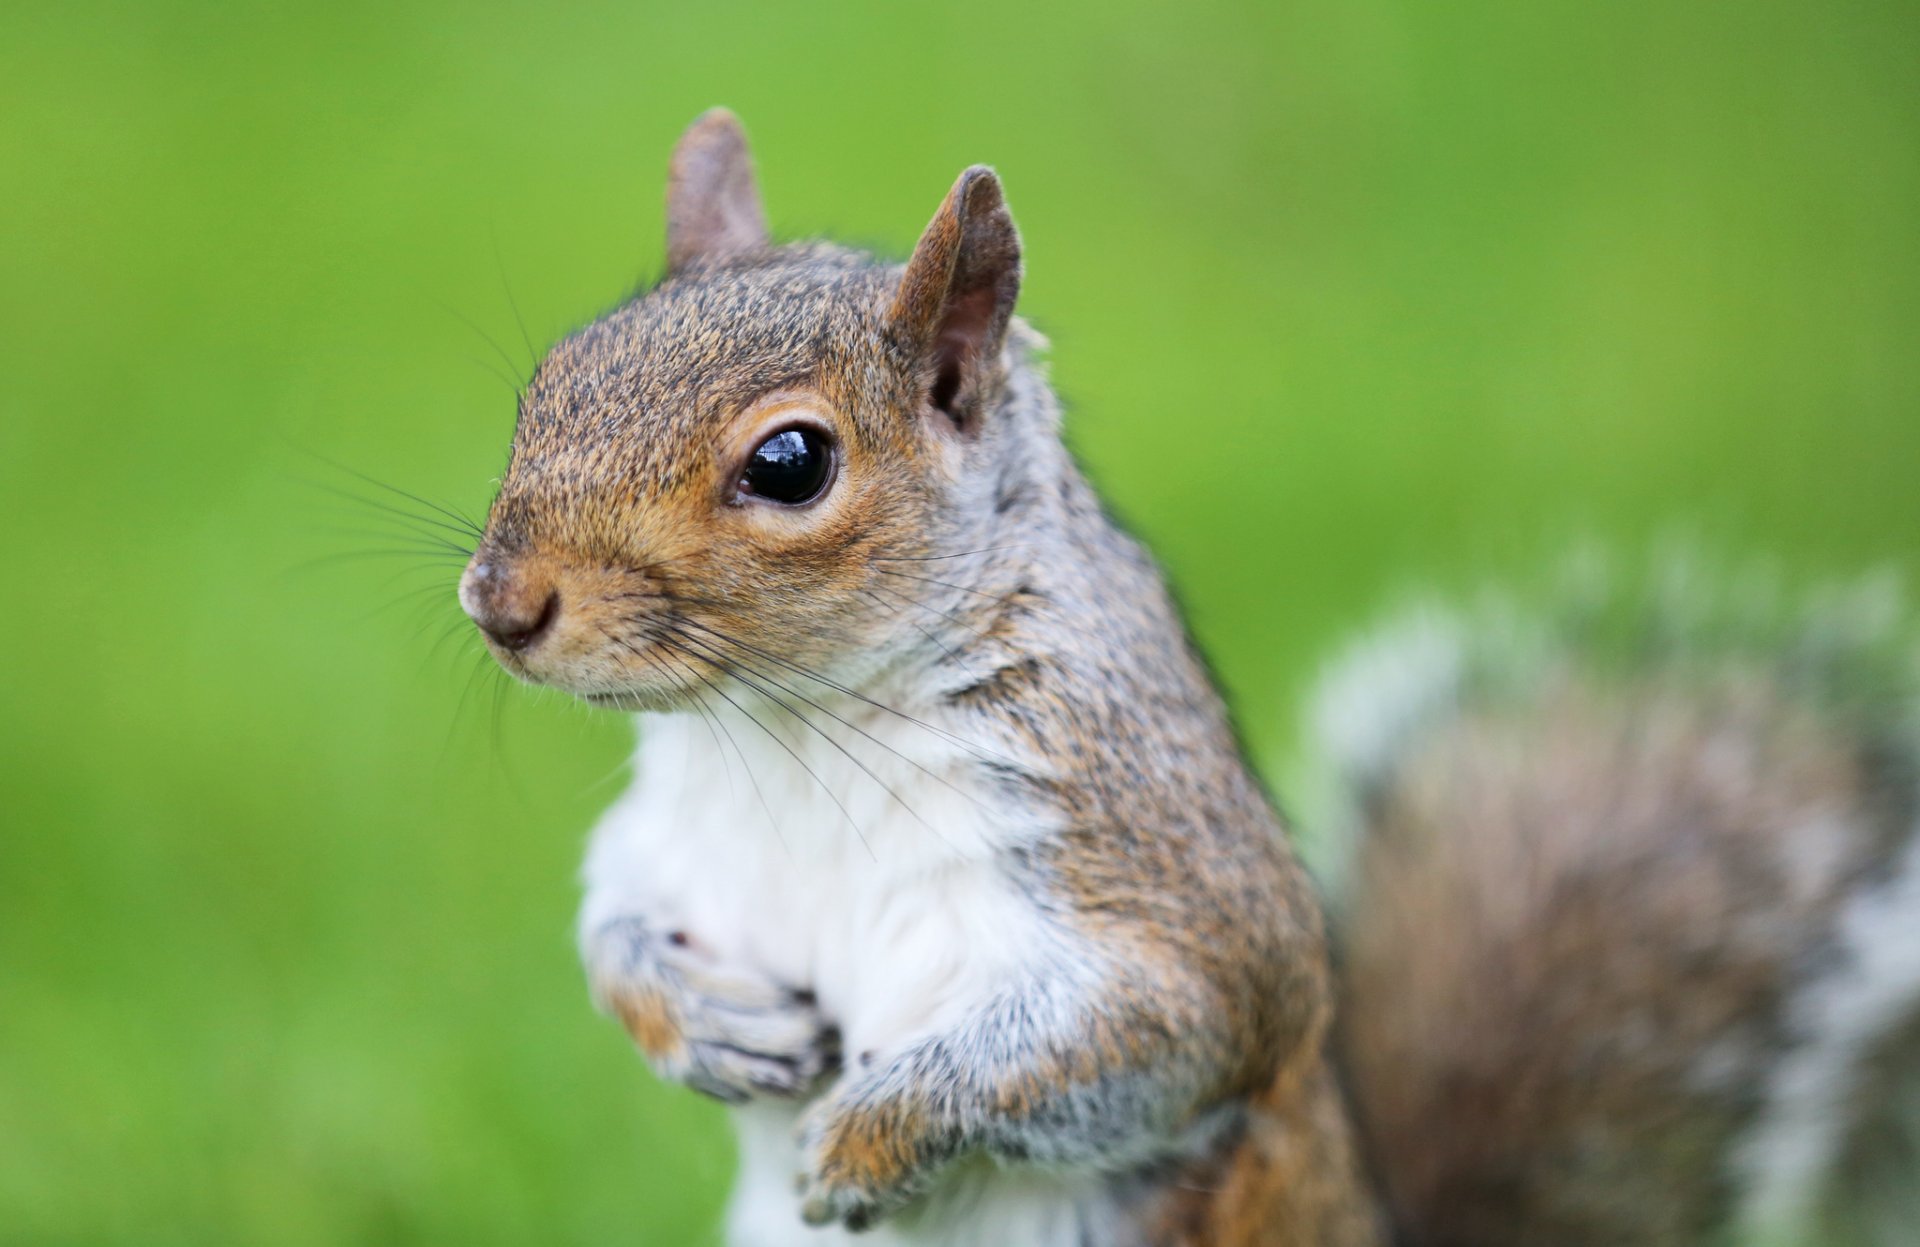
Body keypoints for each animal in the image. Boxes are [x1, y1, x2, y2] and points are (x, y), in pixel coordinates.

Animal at [454, 110, 1920, 1246]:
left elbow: (1159, 1031)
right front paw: (693, 1015)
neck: (793, 726)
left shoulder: (1148, 864)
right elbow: (613, 916)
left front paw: (871, 1134)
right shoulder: (672, 836)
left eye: (792, 462)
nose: (501, 604)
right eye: (553, 377)